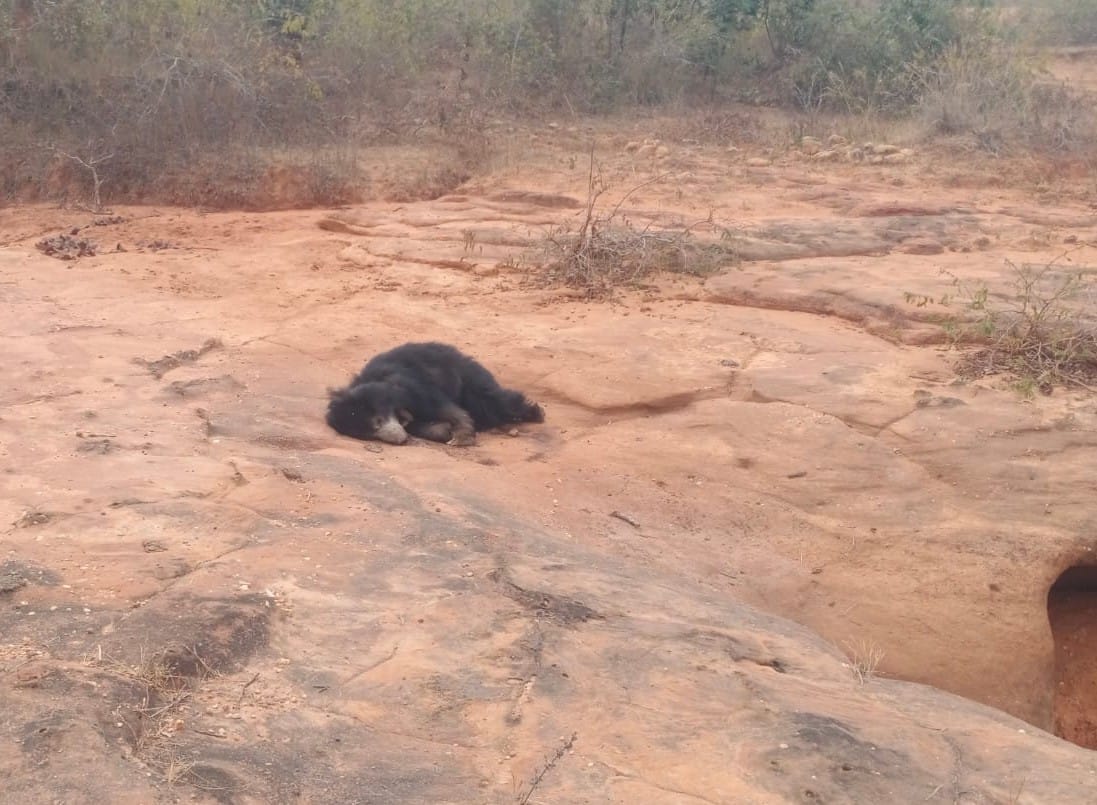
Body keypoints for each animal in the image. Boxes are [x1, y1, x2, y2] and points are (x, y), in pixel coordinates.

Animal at [326, 342, 544, 447]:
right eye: (370, 434)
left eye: (378, 422)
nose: (398, 440)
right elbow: (420, 424)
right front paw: (444, 431)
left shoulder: (411, 386)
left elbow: (442, 406)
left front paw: (460, 437)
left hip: (465, 373)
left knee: (490, 400)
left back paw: (534, 413)